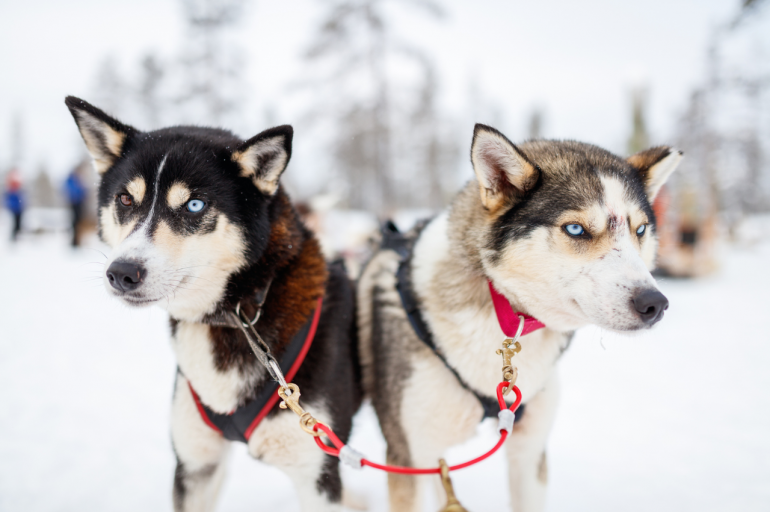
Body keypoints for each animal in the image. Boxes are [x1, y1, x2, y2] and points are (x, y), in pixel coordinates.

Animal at [66, 97, 360, 512]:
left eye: (194, 204)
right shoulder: (195, 465)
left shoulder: (317, 477)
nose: (122, 272)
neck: (237, 314)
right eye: (125, 199)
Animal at [356, 125, 680, 512]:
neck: (501, 306)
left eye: (640, 230)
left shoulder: (528, 452)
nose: (655, 304)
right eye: (575, 229)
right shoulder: (407, 458)